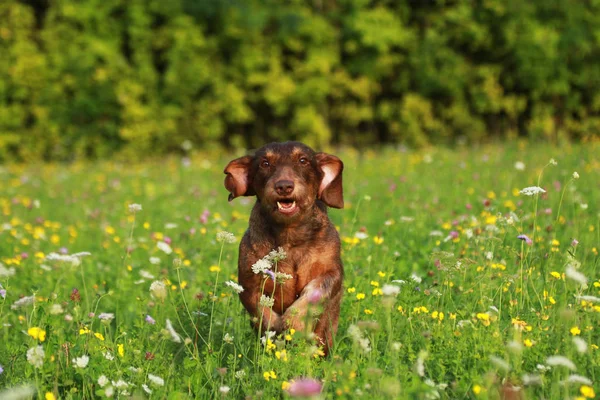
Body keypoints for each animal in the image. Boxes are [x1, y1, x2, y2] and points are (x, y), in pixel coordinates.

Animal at [224, 141, 344, 354]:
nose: (284, 186)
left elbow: (314, 292)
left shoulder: (332, 272)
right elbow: (259, 308)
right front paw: (275, 329)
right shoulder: (248, 281)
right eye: (264, 163)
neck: (290, 236)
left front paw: (292, 324)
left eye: (303, 160)